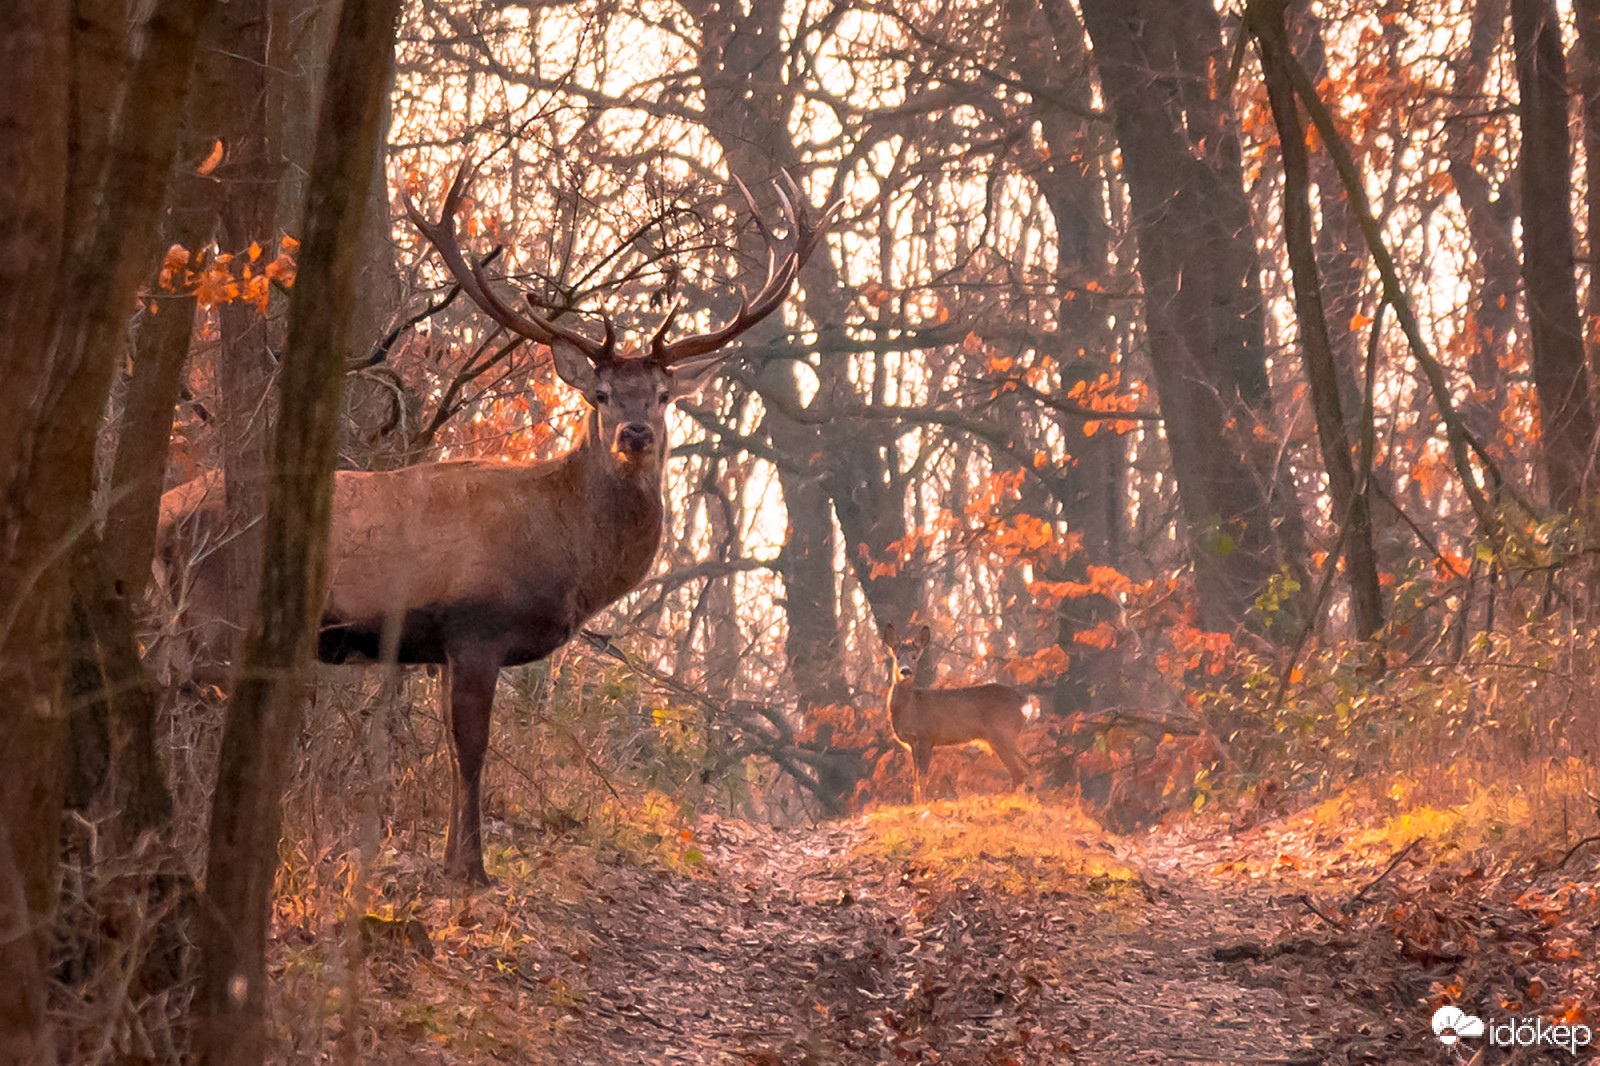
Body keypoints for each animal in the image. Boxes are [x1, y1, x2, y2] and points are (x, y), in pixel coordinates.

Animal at [883, 624, 1030, 797]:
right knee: (1026, 767)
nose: (905, 671)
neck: (910, 708)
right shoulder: (913, 744)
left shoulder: (926, 737)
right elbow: (915, 781)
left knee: (1020, 772)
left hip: (1003, 733)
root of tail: (1022, 702)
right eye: (898, 656)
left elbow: (922, 780)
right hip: (1007, 737)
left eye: (914, 657)